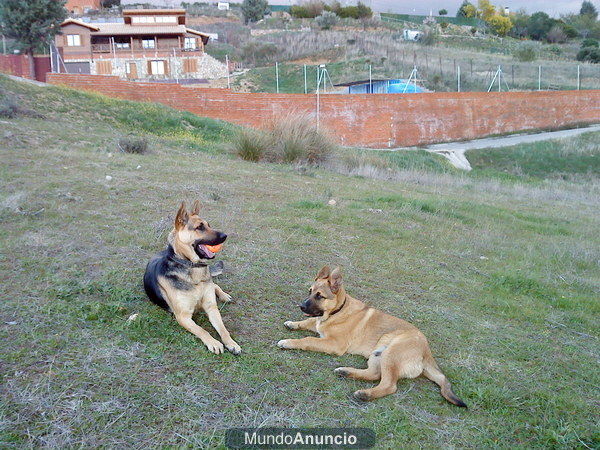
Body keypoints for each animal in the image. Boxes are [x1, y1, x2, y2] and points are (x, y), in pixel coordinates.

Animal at [278, 266, 466, 406]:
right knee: (375, 374)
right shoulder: (318, 324)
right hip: (378, 354)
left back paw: (365, 394)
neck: (337, 311)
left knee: (389, 385)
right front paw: (293, 323)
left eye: (320, 296)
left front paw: (288, 342)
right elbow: (308, 322)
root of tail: (427, 352)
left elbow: (308, 339)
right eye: (309, 291)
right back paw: (346, 372)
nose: (301, 306)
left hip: (391, 354)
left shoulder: (334, 344)